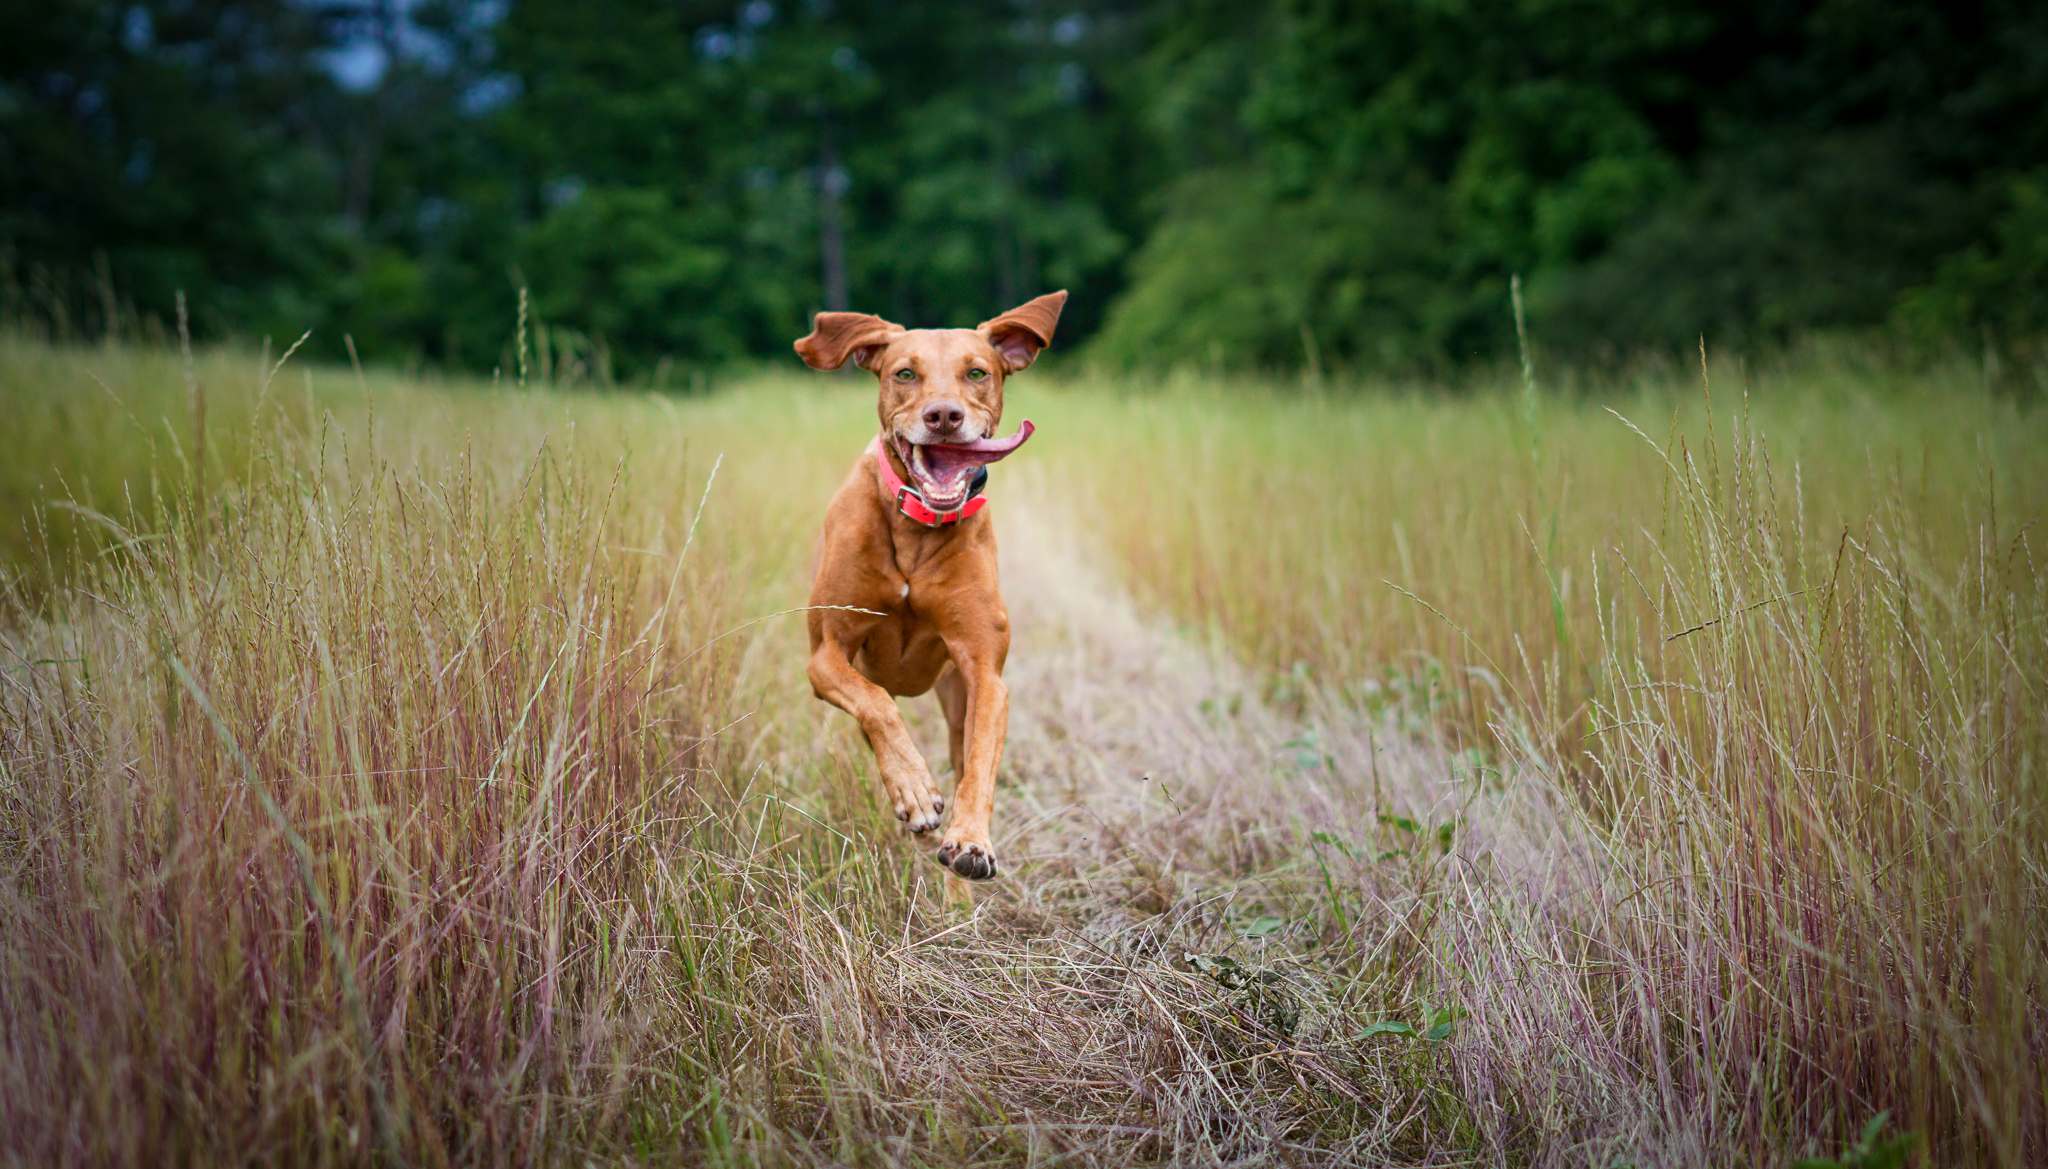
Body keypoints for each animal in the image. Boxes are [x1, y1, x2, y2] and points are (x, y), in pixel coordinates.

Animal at [786, 290, 1064, 876]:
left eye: (977, 372)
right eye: (905, 373)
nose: (943, 416)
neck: (918, 527)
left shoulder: (985, 674)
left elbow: (979, 763)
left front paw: (971, 839)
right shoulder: (825, 655)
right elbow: (876, 703)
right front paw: (913, 789)